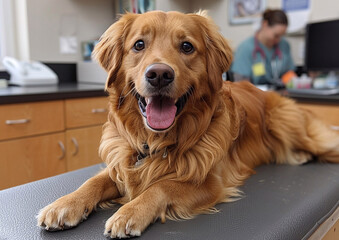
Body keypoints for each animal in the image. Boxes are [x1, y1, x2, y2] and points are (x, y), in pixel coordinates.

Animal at [37, 10, 339, 237]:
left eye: (186, 46)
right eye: (139, 44)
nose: (159, 74)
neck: (157, 141)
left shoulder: (210, 182)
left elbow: (161, 186)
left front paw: (130, 211)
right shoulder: (122, 161)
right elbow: (94, 181)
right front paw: (66, 204)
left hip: (286, 124)